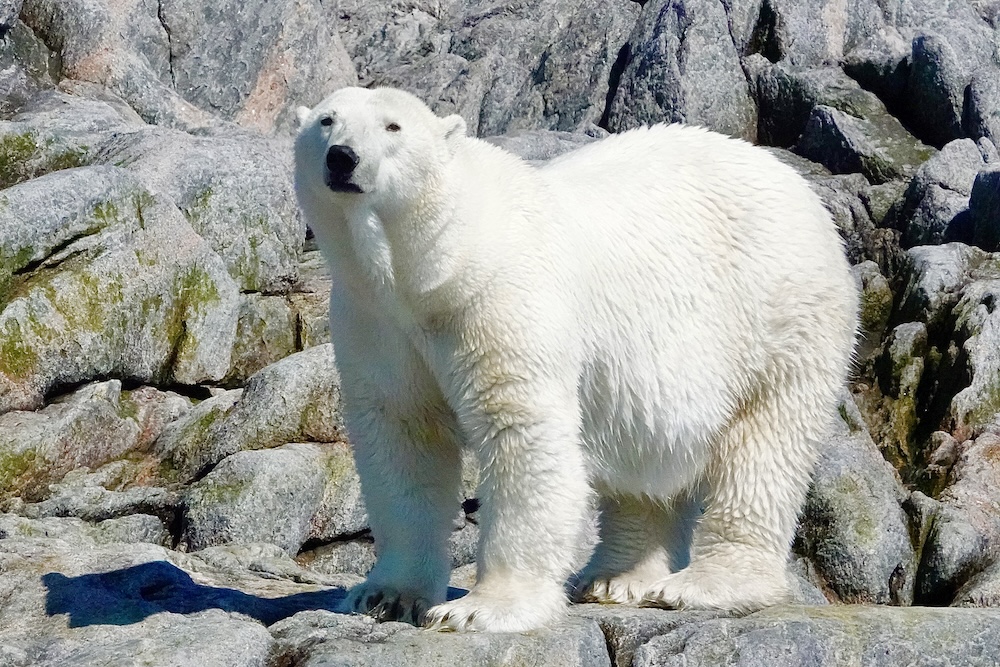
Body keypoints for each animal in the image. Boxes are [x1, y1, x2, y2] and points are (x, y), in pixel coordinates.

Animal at [292, 86, 856, 636]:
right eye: (326, 120)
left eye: (393, 126)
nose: (343, 157)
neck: (435, 265)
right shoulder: (376, 320)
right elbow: (404, 436)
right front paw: (385, 596)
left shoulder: (497, 301)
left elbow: (520, 431)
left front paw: (480, 608)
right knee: (645, 454)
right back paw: (616, 578)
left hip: (780, 316)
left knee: (766, 444)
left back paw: (705, 583)